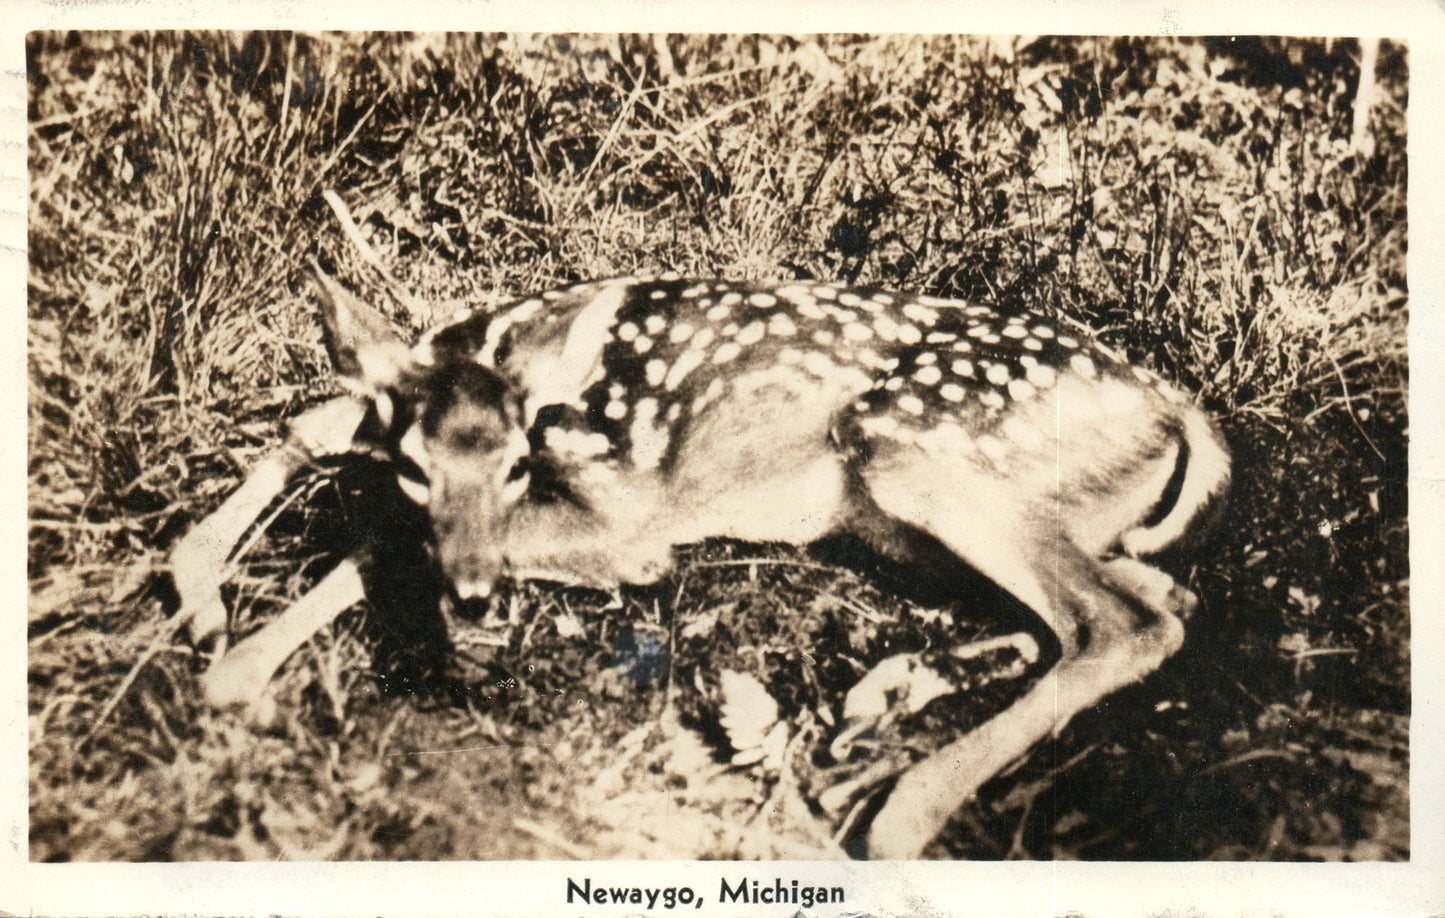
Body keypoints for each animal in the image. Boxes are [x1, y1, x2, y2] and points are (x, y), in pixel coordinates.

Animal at [170, 267, 1230, 859]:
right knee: (1141, 596)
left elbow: (378, 537)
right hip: (931, 516)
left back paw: (899, 813)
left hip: (920, 451)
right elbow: (320, 433)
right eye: (413, 466)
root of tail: (1173, 410)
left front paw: (233, 665)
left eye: (516, 463)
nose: (471, 597)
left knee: (1126, 620)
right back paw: (871, 719)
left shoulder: (628, 516)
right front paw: (203, 606)